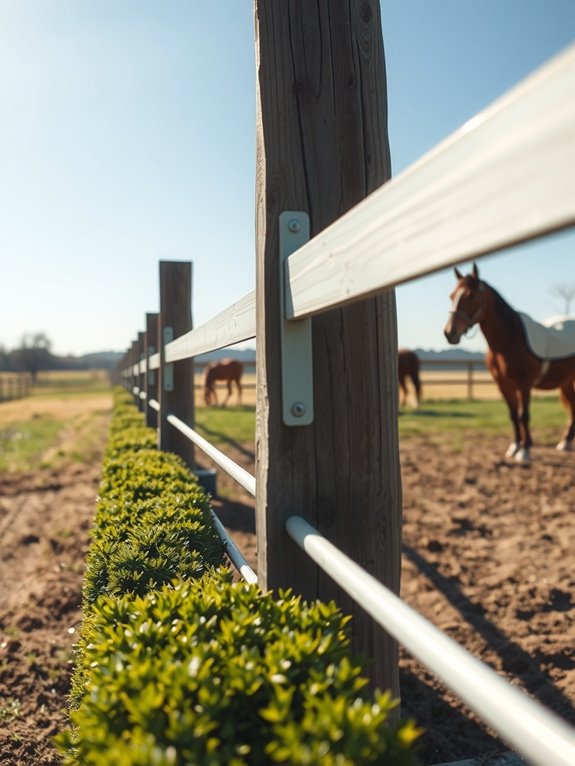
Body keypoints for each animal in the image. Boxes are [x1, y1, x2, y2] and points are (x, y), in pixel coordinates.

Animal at [444, 263, 575, 464]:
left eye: (471, 295)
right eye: (452, 296)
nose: (450, 333)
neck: (508, 340)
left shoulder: (524, 384)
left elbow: (523, 415)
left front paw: (525, 451)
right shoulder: (504, 385)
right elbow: (513, 415)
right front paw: (514, 447)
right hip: (566, 382)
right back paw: (565, 442)